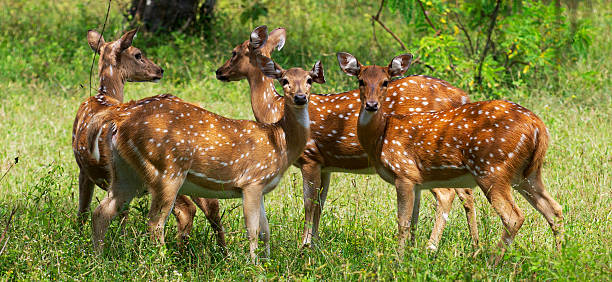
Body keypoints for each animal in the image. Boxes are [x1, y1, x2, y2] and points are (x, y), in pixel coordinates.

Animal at [72, 29, 225, 248]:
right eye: (138, 54)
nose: (160, 70)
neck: (105, 95)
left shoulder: (85, 170)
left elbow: (87, 210)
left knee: (186, 209)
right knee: (209, 206)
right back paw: (216, 250)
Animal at [89, 51, 326, 262]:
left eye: (309, 80)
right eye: (284, 80)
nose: (300, 97)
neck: (279, 141)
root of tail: (120, 117)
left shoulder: (260, 187)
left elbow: (265, 231)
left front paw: (267, 263)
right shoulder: (252, 181)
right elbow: (253, 230)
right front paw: (254, 265)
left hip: (125, 171)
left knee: (102, 212)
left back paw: (98, 260)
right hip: (165, 170)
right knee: (155, 223)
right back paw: (163, 264)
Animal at [218, 25, 480, 250]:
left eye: (234, 52)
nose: (219, 71)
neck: (274, 110)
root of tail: (461, 97)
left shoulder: (310, 157)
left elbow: (309, 203)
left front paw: (304, 245)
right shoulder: (326, 164)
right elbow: (320, 204)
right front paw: (315, 244)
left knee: (448, 195)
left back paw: (431, 247)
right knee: (466, 194)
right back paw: (472, 246)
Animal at [340, 52, 564, 262]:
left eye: (385, 82)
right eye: (361, 81)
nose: (371, 105)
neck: (382, 136)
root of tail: (538, 127)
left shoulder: (404, 172)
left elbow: (403, 222)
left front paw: (398, 261)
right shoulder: (417, 182)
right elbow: (414, 220)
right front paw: (412, 255)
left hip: (492, 168)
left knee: (514, 216)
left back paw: (489, 263)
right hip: (527, 174)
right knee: (554, 209)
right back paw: (558, 257)